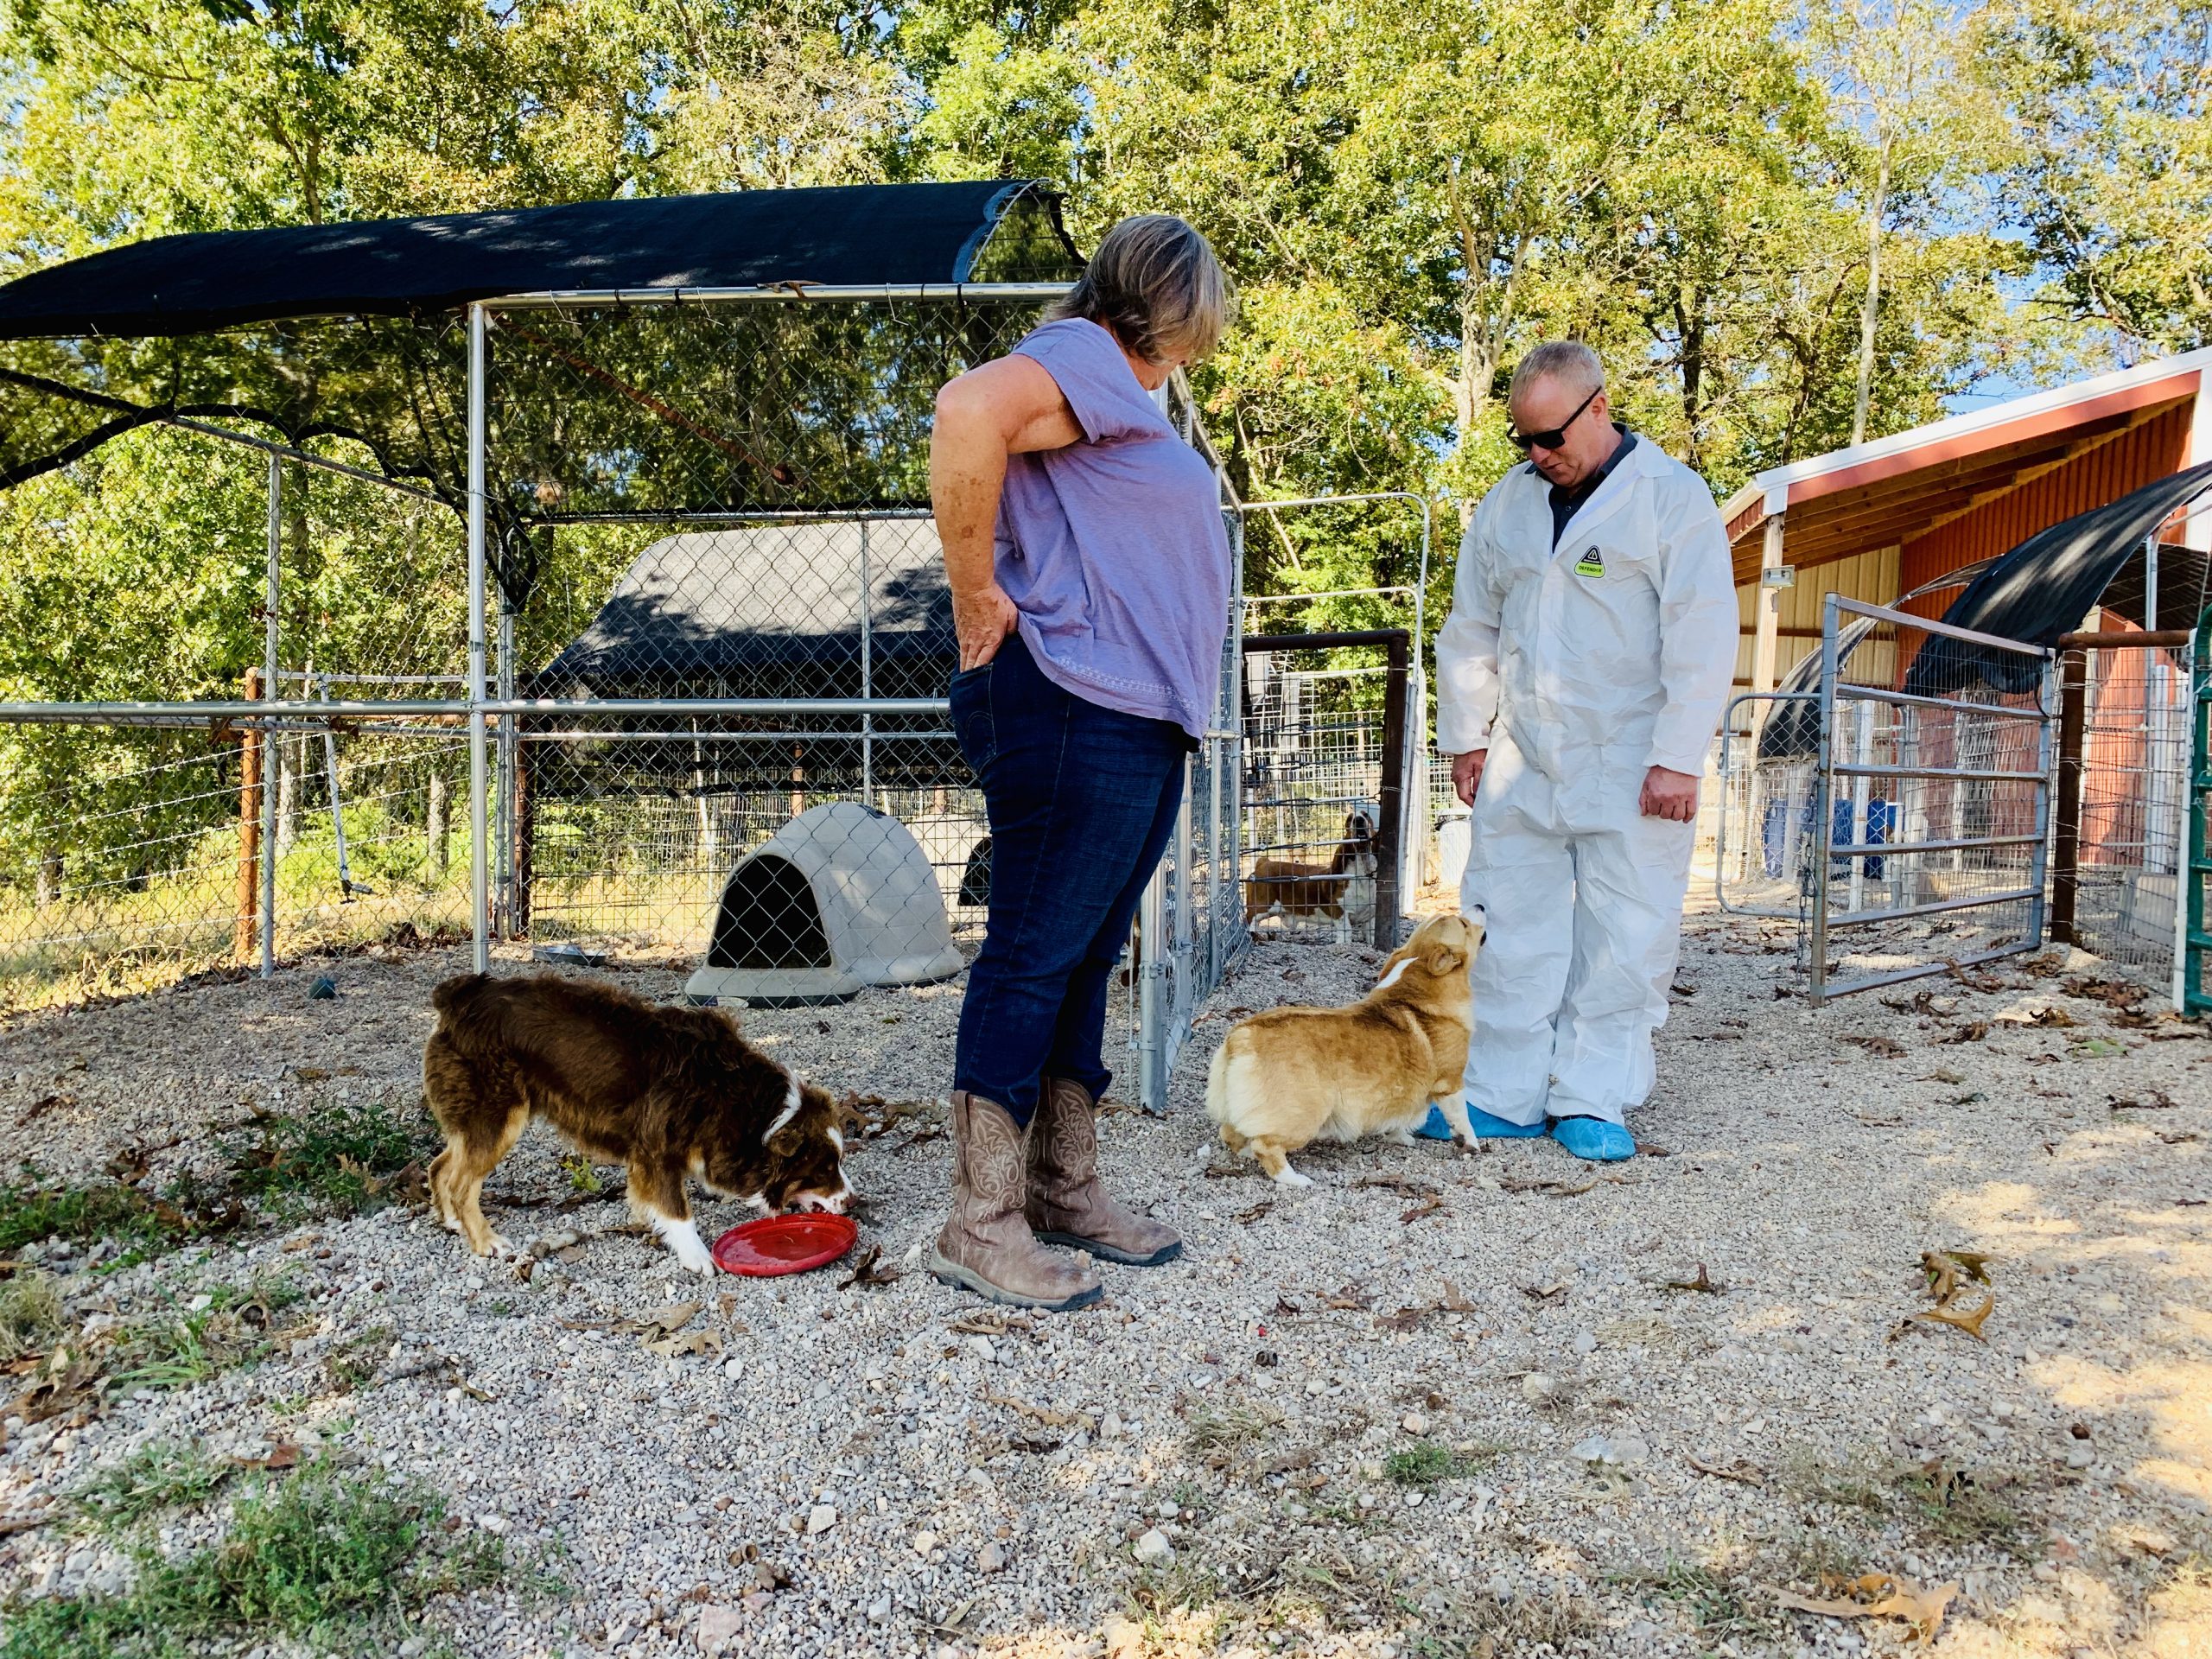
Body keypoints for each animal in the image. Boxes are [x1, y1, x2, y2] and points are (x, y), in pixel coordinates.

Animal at [420, 973, 844, 1274]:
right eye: (823, 1168)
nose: (852, 1201)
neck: (750, 1107)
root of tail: (459, 996)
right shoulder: (657, 1151)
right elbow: (678, 1210)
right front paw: (696, 1256)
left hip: (477, 1122)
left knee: (439, 1166)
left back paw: (453, 1222)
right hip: (497, 1118)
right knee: (461, 1183)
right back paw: (484, 1241)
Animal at [1211, 915, 1486, 1185]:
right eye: (1464, 924)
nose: (1480, 907)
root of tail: (1242, 1035)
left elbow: (1399, 1119)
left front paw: (1400, 1137)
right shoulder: (1450, 1084)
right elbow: (1462, 1119)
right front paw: (1471, 1145)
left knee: (1231, 1133)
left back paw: (1247, 1153)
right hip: (1303, 1115)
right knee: (1266, 1146)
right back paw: (1295, 1179)